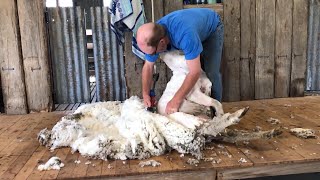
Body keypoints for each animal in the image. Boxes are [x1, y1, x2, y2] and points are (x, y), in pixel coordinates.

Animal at [38, 50, 282, 160]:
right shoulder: (194, 94)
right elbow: (214, 101)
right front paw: (218, 110)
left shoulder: (203, 88)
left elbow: (212, 96)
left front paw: (214, 109)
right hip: (183, 122)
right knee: (209, 127)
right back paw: (230, 116)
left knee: (219, 130)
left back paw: (268, 131)